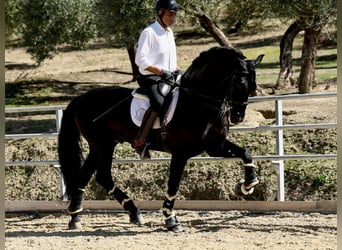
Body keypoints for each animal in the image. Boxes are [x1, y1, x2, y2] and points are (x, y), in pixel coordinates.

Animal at [57, 46, 264, 231]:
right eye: (240, 82)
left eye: (253, 86)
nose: (237, 117)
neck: (197, 102)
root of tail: (80, 99)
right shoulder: (181, 153)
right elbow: (173, 185)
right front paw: (171, 220)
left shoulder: (214, 146)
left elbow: (245, 153)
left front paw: (246, 185)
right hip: (102, 144)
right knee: (103, 176)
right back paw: (131, 211)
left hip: (100, 145)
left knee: (86, 176)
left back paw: (77, 217)